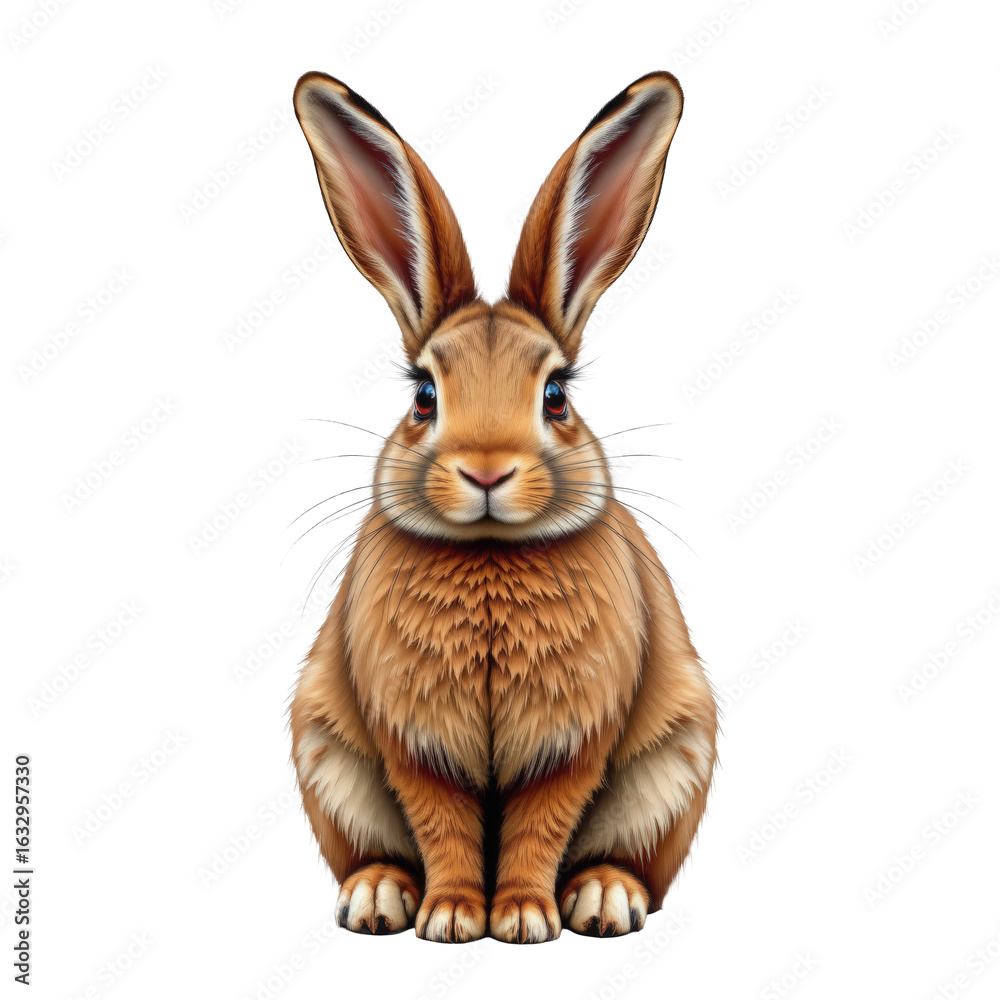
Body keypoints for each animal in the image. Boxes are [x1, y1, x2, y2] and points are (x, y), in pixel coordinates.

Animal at [289, 69, 717, 944]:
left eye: (556, 395)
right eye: (423, 394)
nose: (486, 471)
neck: (489, 554)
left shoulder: (572, 741)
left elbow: (538, 824)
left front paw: (520, 917)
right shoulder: (416, 741)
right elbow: (444, 823)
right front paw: (454, 916)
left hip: (674, 767)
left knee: (634, 861)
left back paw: (603, 898)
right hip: (326, 758)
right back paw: (378, 896)